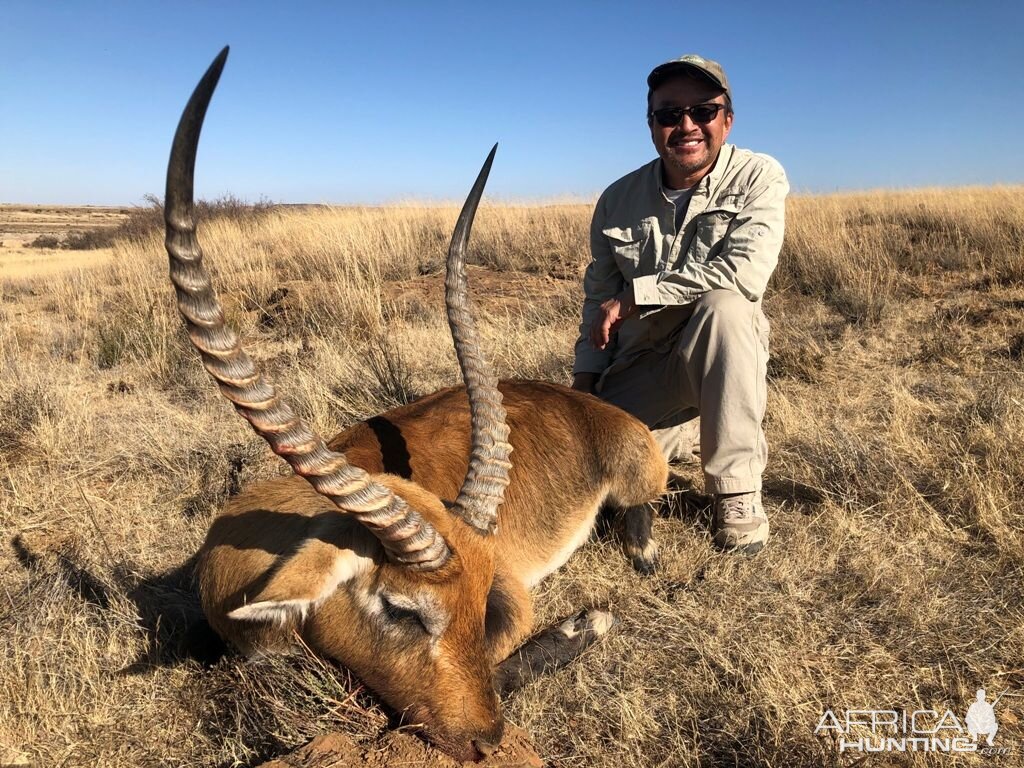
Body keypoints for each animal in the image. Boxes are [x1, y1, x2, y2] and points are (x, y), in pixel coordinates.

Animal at [163, 49, 667, 765]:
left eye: (481, 599)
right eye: (402, 609)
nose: (485, 741)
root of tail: (584, 401)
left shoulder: (511, 597)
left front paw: (585, 623)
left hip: (636, 480)